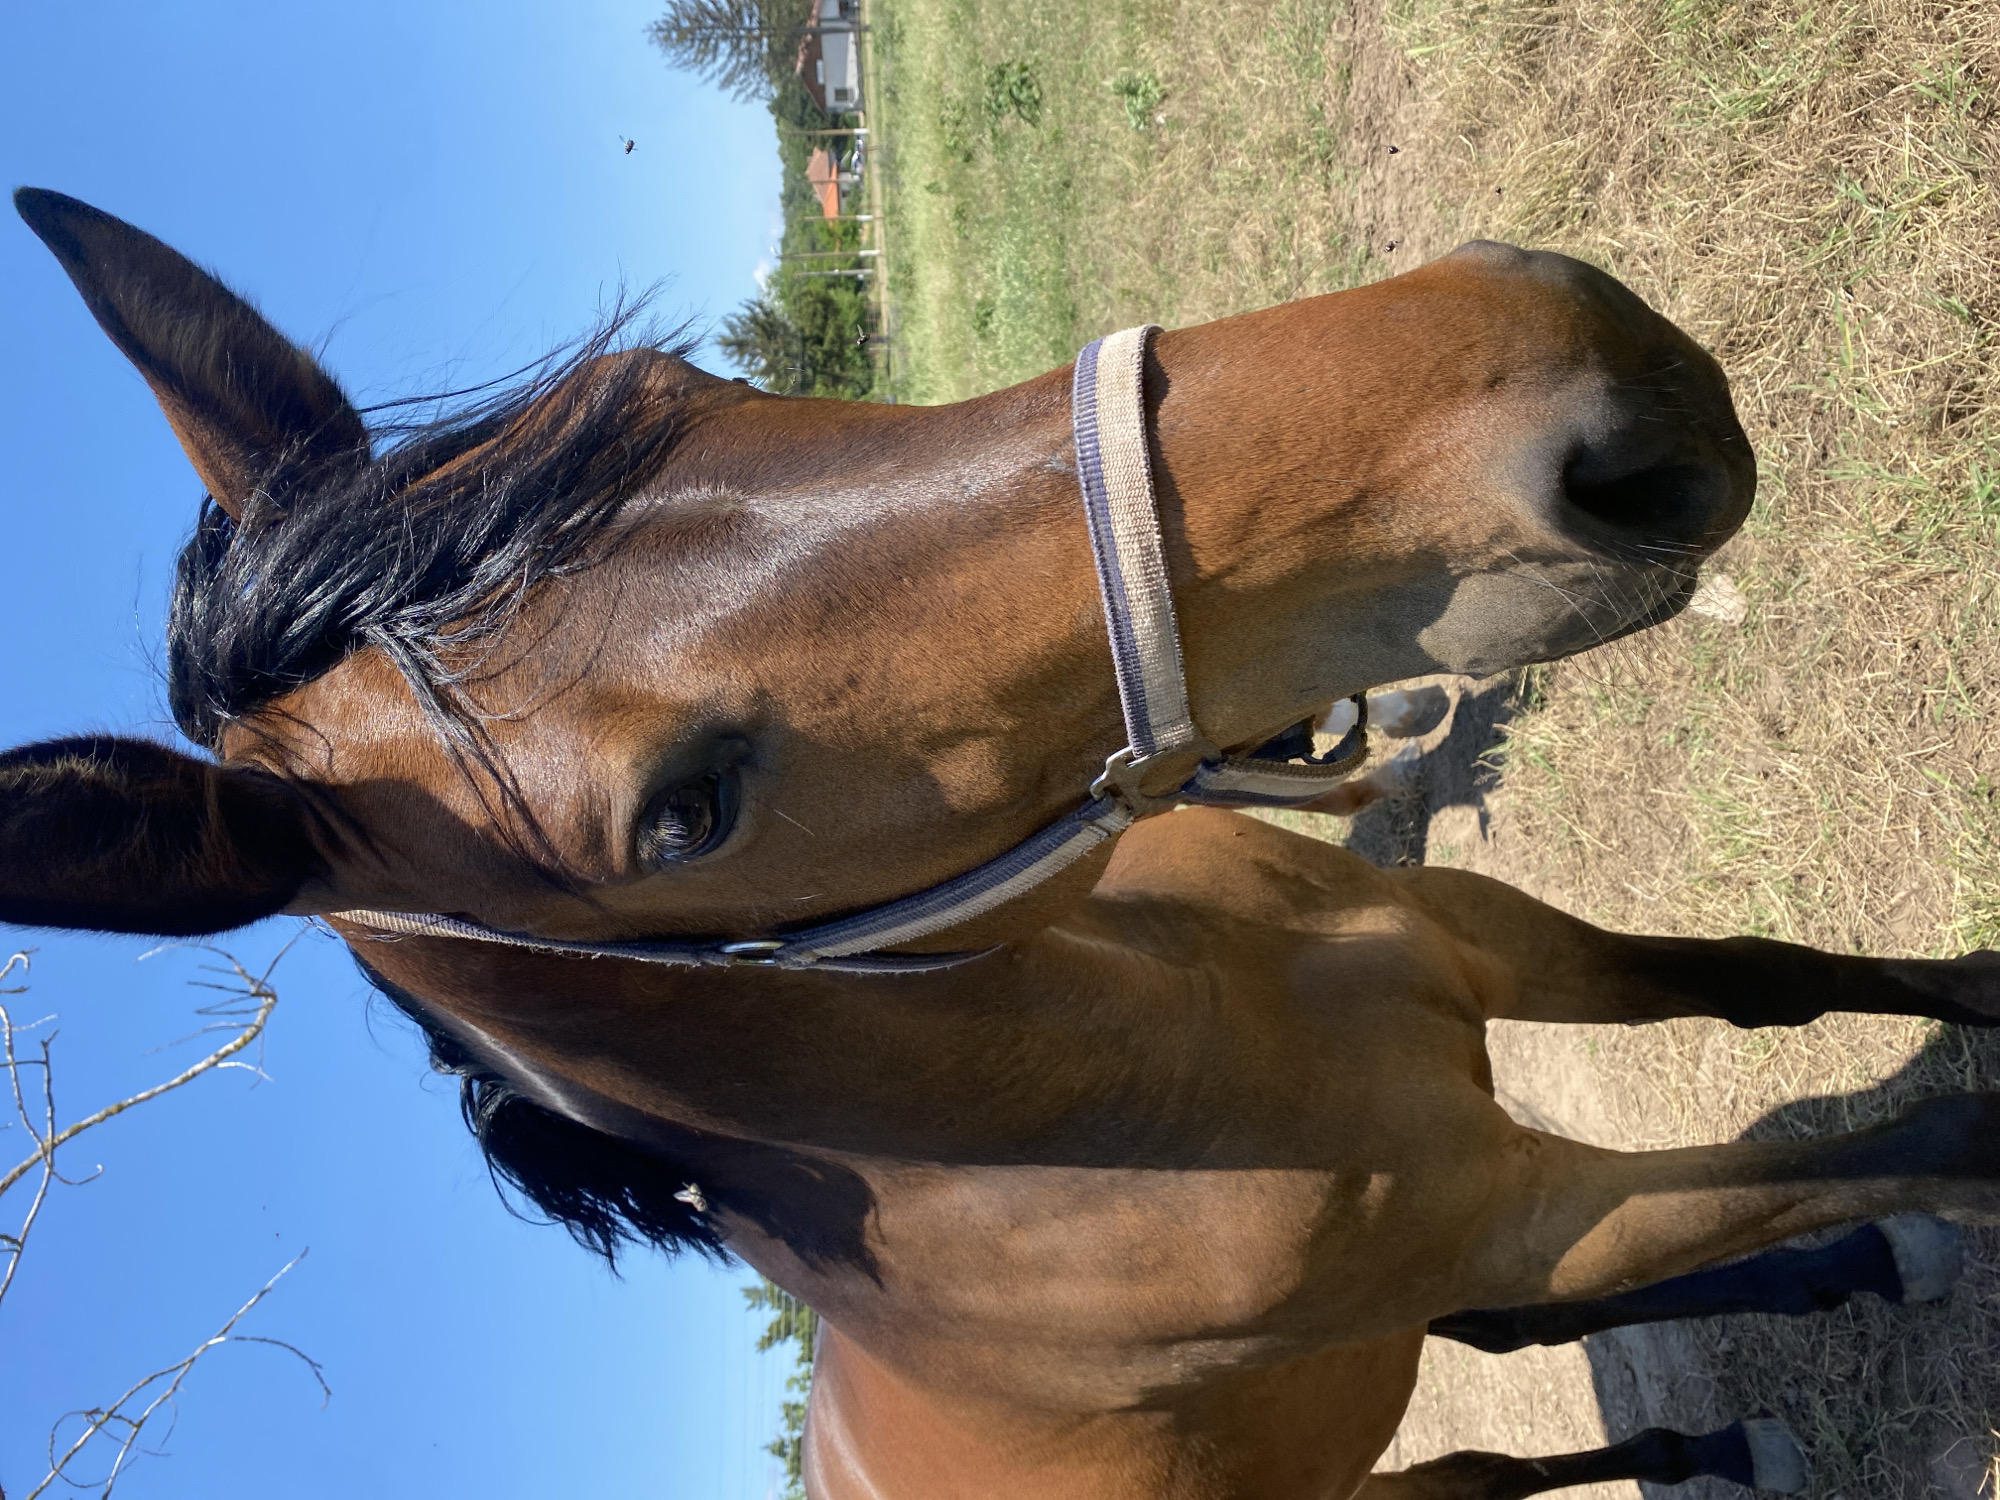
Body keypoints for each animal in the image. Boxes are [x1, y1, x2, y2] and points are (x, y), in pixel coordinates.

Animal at [6, 187, 1999, 1499]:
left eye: (676, 388)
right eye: (681, 815)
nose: (1592, 373)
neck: (1152, 1058)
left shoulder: (1471, 932)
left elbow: (1766, 981)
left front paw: (1972, 992)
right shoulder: (1541, 1220)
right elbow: (1906, 1151)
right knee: (1485, 1471)